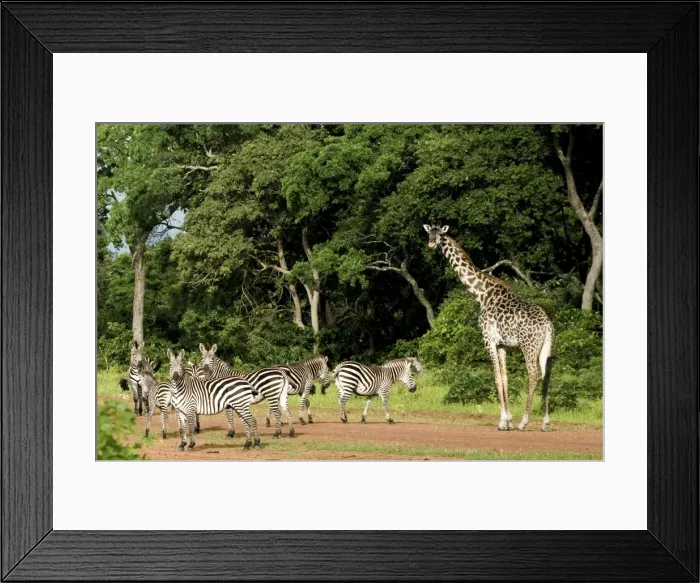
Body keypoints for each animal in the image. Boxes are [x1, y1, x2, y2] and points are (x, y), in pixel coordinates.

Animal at [423, 224, 555, 431]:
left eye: (441, 235)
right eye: (429, 233)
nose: (430, 243)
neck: (481, 293)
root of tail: (548, 325)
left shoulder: (489, 340)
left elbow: (496, 378)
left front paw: (503, 422)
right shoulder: (502, 345)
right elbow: (505, 379)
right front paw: (508, 421)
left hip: (529, 346)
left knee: (533, 374)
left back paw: (524, 422)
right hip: (545, 347)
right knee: (546, 375)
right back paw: (545, 423)